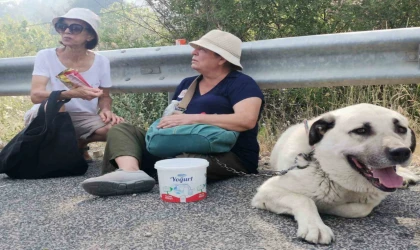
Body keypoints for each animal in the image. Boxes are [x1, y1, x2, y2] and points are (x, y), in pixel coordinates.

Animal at [251, 103, 418, 244]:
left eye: (401, 129)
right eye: (361, 130)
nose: (401, 152)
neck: (332, 177)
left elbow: (360, 209)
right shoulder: (268, 191)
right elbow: (304, 200)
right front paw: (316, 226)